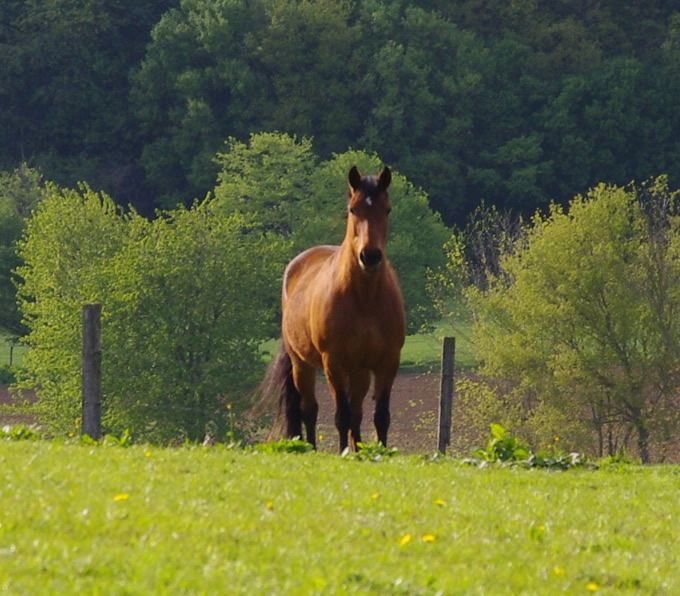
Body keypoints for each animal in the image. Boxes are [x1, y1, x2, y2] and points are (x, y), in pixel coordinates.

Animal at [264, 164, 404, 452]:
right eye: (353, 209)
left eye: (387, 209)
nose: (370, 256)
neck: (364, 299)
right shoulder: (334, 364)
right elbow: (341, 415)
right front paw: (343, 452)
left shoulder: (388, 362)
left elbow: (380, 416)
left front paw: (377, 452)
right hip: (303, 366)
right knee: (308, 410)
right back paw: (312, 448)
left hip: (359, 372)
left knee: (357, 411)